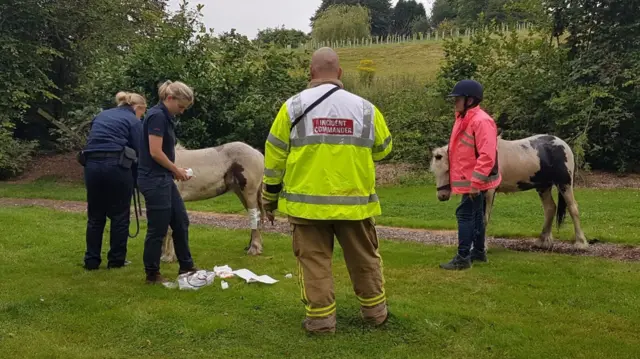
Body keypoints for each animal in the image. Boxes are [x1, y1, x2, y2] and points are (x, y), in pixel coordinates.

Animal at [430, 134, 592, 249]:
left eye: (448, 170)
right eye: (435, 171)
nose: (442, 196)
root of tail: (562, 144)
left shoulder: (489, 192)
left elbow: (484, 218)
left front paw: (482, 247)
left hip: (564, 183)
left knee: (573, 208)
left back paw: (580, 243)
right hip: (543, 186)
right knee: (550, 208)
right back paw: (543, 241)